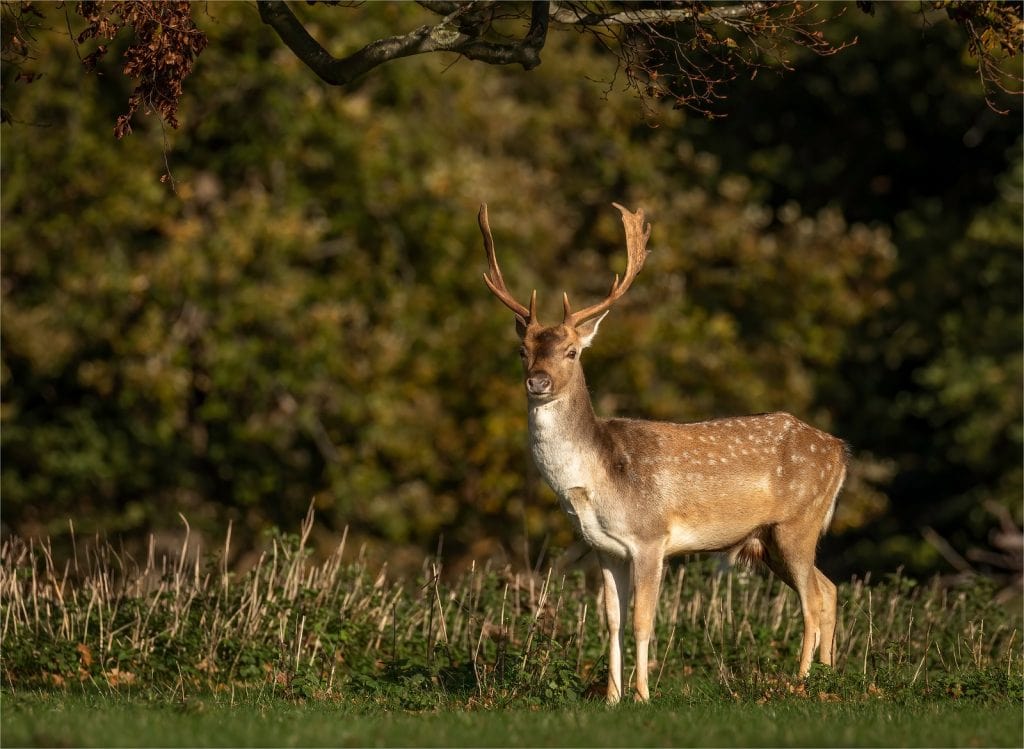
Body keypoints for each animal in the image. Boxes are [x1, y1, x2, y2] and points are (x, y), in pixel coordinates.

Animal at [479, 200, 847, 704]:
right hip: (771, 540)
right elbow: (611, 621)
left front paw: (642, 696)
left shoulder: (651, 537)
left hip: (798, 523)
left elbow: (642, 621)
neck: (598, 479)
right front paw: (611, 696)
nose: (538, 381)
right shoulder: (605, 548)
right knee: (828, 589)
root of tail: (841, 451)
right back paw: (830, 677)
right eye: (522, 350)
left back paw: (802, 682)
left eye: (572, 351)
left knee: (812, 599)